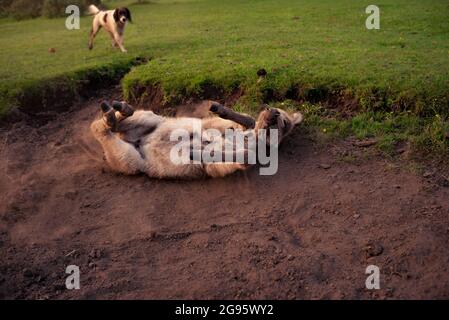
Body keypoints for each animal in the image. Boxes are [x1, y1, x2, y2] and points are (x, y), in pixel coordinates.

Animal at [89, 101, 302, 179]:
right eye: (277, 111)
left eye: (284, 122)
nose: (270, 110)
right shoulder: (212, 124)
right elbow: (244, 121)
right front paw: (220, 110)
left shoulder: (218, 168)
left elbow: (244, 156)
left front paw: (200, 152)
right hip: (149, 119)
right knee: (110, 124)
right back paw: (117, 110)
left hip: (129, 160)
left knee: (100, 129)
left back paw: (111, 115)